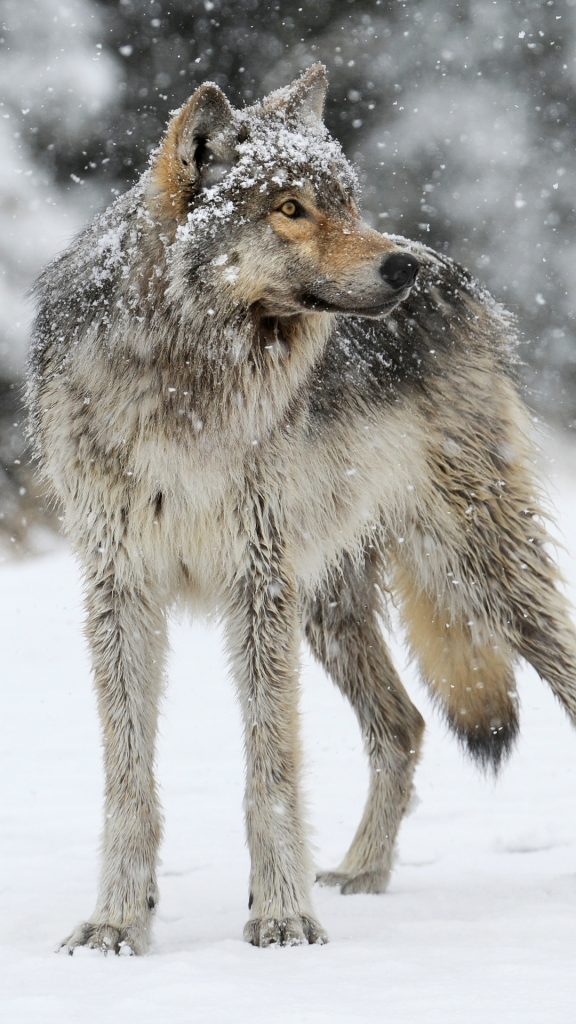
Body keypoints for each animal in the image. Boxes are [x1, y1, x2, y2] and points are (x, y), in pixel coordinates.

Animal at [28, 66, 576, 950]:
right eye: (289, 207)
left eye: (346, 201)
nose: (400, 269)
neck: (189, 384)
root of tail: (456, 274)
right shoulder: (122, 590)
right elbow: (128, 777)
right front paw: (117, 922)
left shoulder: (259, 585)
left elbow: (272, 768)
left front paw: (281, 914)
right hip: (327, 605)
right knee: (403, 725)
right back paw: (361, 874)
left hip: (479, 568)